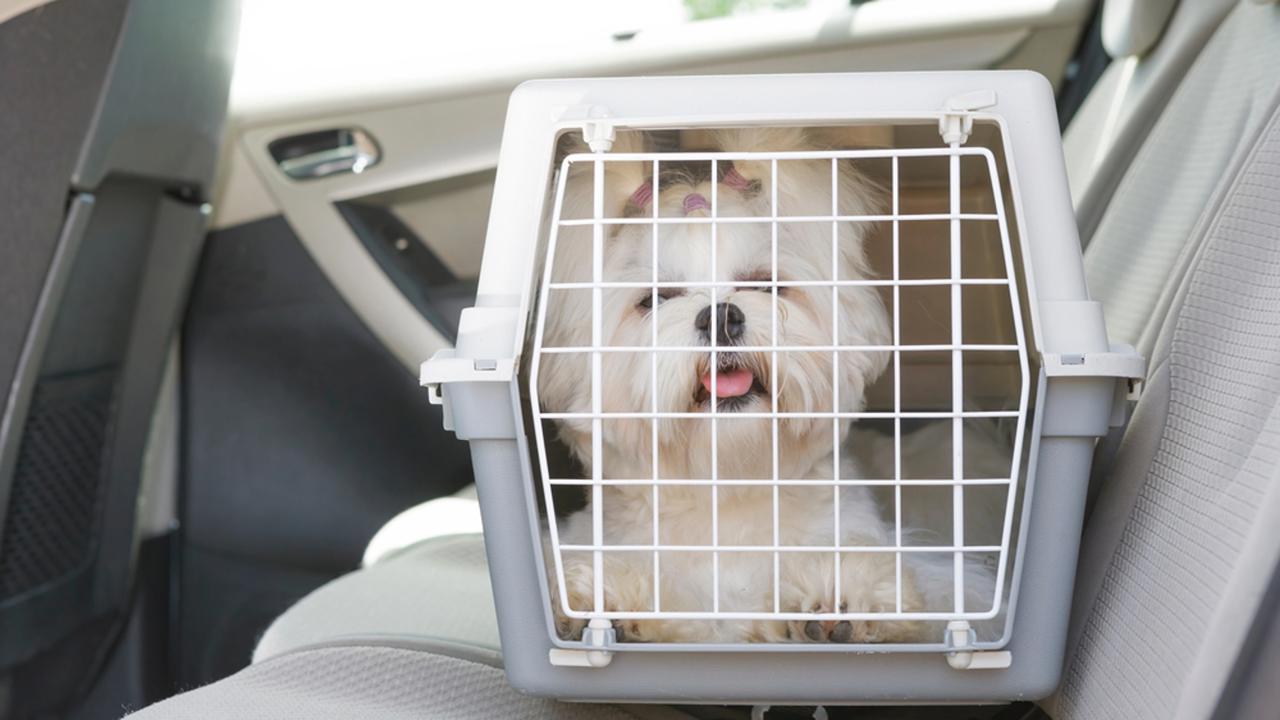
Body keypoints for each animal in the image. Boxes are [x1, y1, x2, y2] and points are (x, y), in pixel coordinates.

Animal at [535, 126, 993, 640]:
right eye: (654, 300)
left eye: (765, 284)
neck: (730, 490)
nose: (721, 317)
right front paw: (607, 597)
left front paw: (842, 595)